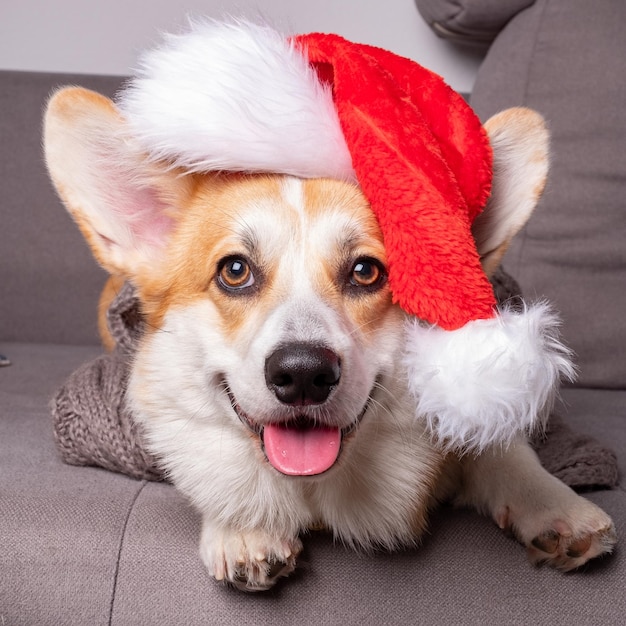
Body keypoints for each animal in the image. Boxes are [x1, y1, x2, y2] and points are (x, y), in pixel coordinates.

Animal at [44, 39, 616, 588]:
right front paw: (242, 525)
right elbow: (219, 470)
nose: (303, 374)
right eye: (235, 271)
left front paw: (557, 505)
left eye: (366, 272)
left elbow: (503, 448)